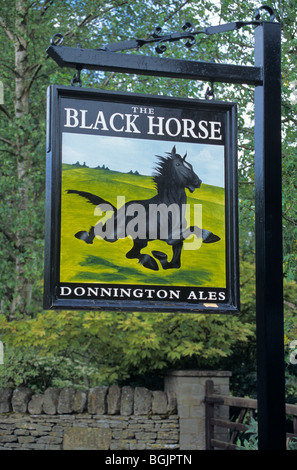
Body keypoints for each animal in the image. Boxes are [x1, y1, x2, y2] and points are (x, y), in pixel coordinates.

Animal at [67, 147, 220, 272]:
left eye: (191, 165)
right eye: (178, 164)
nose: (198, 182)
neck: (168, 206)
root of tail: (119, 210)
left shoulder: (176, 242)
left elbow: (174, 264)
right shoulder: (168, 236)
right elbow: (189, 231)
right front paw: (209, 236)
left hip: (135, 239)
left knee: (131, 252)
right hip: (114, 234)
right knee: (98, 231)